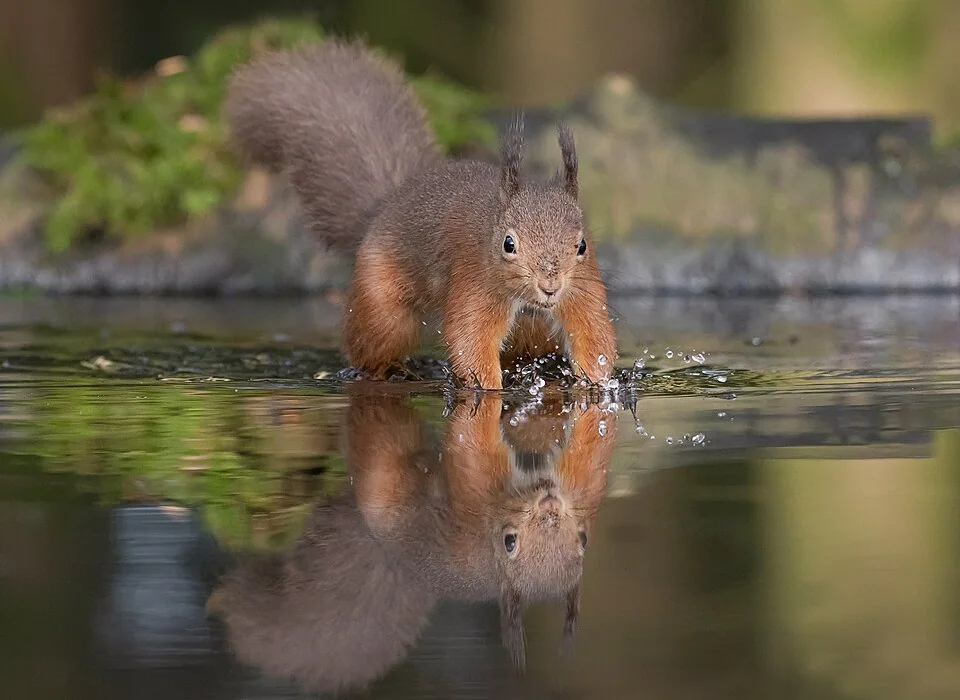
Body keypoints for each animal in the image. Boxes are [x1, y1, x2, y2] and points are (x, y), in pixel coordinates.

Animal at [225, 39, 618, 390]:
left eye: (582, 246)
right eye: (509, 244)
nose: (551, 286)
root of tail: (388, 204)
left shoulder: (584, 289)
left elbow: (593, 334)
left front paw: (597, 381)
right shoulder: (474, 282)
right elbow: (470, 340)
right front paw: (492, 388)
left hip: (532, 333)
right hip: (382, 303)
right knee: (372, 344)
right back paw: (391, 370)